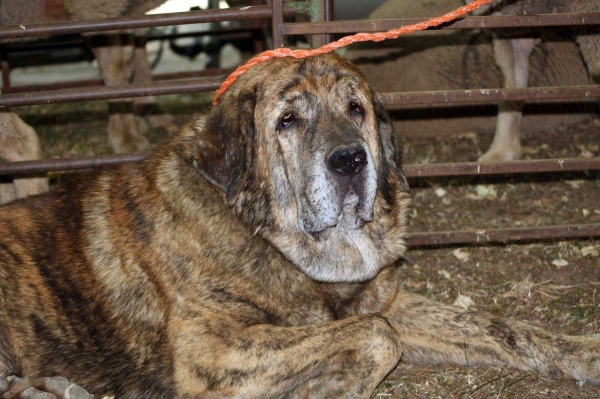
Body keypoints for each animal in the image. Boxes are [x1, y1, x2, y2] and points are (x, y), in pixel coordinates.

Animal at [1, 54, 600, 399]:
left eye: (356, 109)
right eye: (287, 120)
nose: (351, 161)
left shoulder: (385, 300)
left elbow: (497, 327)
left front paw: (583, 350)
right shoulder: (213, 351)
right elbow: (376, 336)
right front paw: (332, 383)